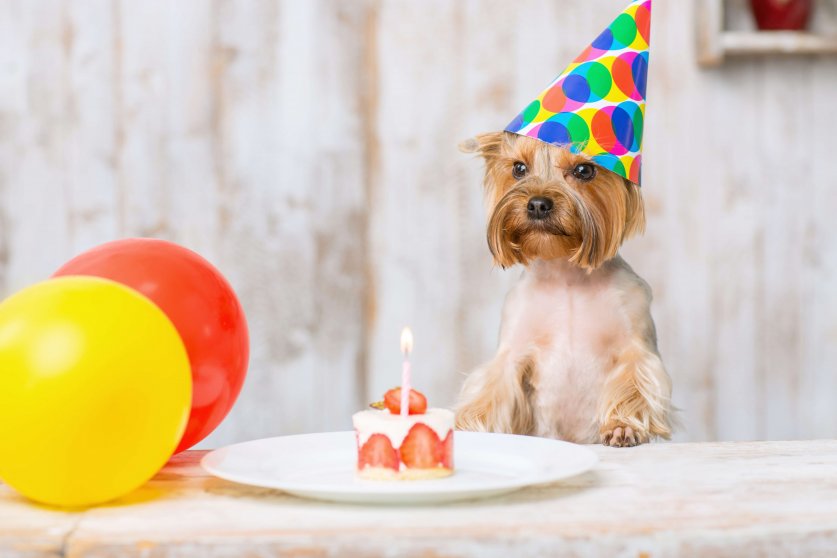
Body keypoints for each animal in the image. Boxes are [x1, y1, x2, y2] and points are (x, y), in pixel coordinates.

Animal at [450, 130, 672, 446]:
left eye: (584, 170)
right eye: (519, 168)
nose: (538, 204)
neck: (567, 276)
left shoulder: (636, 338)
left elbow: (634, 382)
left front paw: (622, 426)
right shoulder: (513, 347)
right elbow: (491, 388)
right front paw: (466, 426)